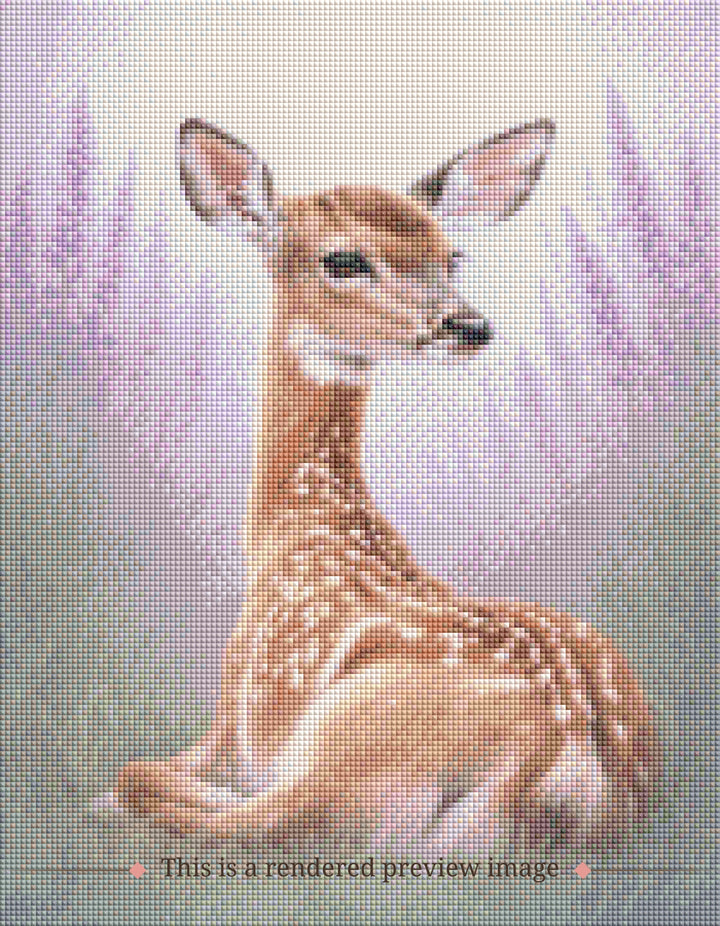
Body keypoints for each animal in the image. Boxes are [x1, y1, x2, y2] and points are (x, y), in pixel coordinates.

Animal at [108, 117, 660, 854]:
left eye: (452, 256)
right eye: (344, 260)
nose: (469, 326)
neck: (304, 526)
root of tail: (555, 762)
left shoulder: (235, 709)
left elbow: (148, 770)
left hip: (351, 743)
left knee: (232, 816)